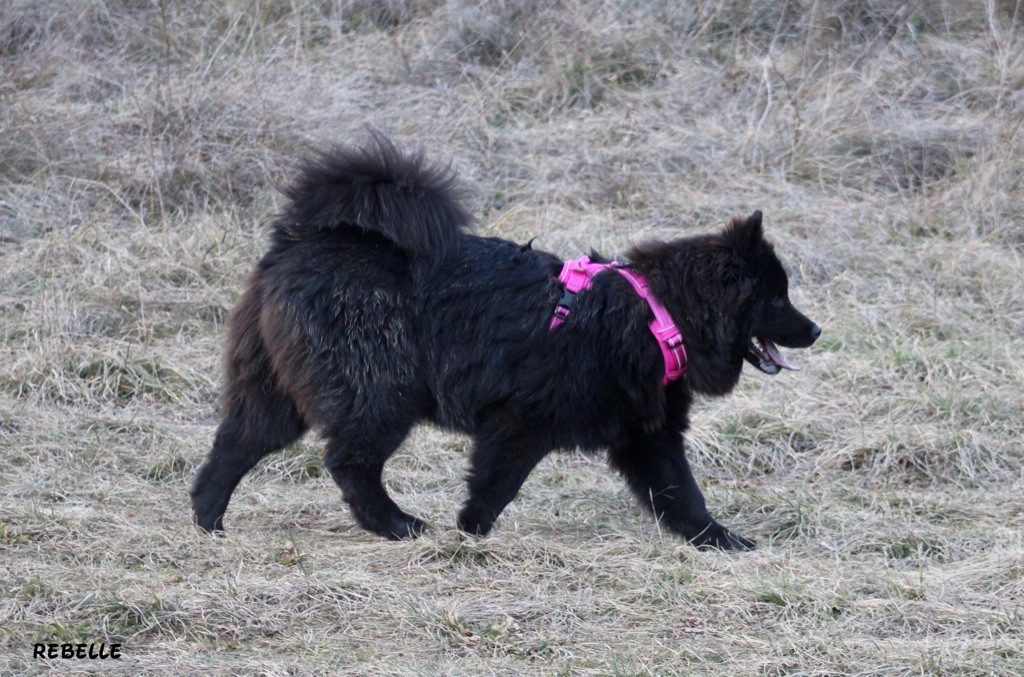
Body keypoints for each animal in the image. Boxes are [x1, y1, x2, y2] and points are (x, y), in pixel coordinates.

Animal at [190, 133, 815, 548]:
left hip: (276, 390)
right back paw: (397, 524)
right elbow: (496, 485)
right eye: (776, 298)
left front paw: (718, 538)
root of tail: (296, 245)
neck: (656, 313)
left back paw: (208, 520)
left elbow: (680, 493)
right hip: (383, 392)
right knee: (350, 463)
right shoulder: (520, 422)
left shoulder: (648, 433)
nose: (816, 329)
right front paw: (471, 534)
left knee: (234, 445)